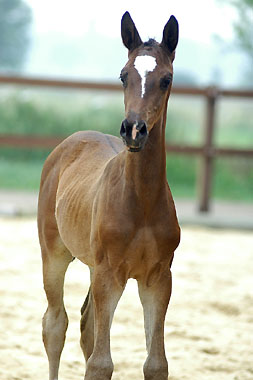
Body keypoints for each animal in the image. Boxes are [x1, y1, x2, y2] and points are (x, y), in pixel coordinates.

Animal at [37, 11, 180, 380]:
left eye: (166, 79)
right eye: (123, 75)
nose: (134, 129)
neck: (142, 202)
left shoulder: (159, 278)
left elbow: (156, 363)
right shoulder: (109, 274)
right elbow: (100, 363)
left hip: (91, 265)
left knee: (86, 325)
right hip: (55, 253)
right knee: (55, 324)